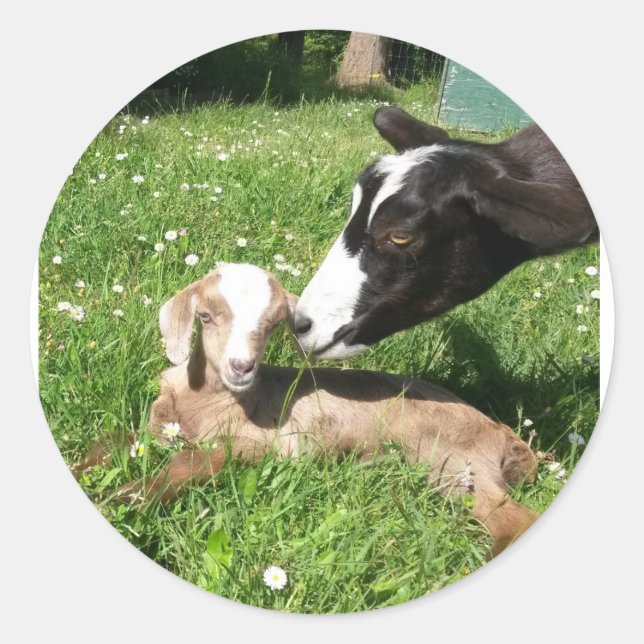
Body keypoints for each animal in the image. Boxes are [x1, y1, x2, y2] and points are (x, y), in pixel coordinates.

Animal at [75, 263, 538, 556]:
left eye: (272, 325)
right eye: (205, 316)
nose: (241, 366)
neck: (204, 400)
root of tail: (505, 434)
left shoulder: (265, 445)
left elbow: (191, 462)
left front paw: (124, 498)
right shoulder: (159, 429)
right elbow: (112, 440)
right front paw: (83, 470)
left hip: (455, 462)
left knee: (514, 519)